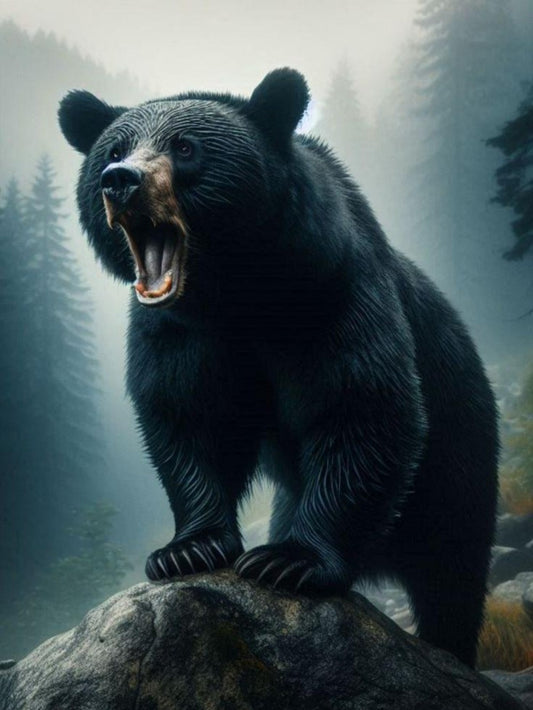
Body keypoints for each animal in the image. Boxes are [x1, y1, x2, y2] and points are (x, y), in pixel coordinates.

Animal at [58, 68, 498, 668]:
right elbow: (189, 418)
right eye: (115, 148)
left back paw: (447, 643)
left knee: (452, 569)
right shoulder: (179, 332)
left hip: (460, 452)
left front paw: (288, 561)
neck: (238, 294)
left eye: (185, 147)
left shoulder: (331, 295)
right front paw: (185, 550)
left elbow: (360, 408)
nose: (119, 181)